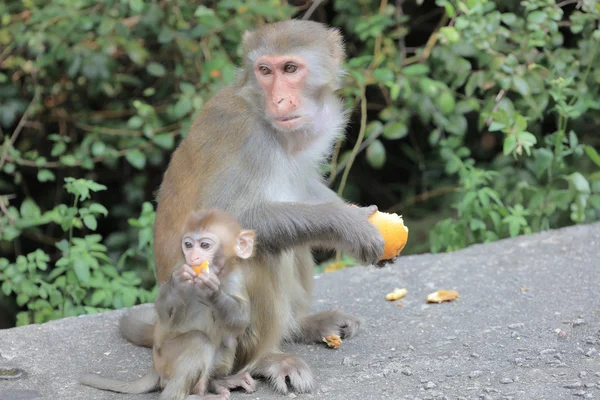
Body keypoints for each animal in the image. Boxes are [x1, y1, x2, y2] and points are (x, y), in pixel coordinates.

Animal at [79, 209, 255, 400]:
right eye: (188, 244)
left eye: (204, 245)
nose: (193, 257)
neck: (219, 273)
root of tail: (155, 367)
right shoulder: (179, 265)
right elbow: (164, 311)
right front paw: (177, 283)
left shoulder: (237, 276)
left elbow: (240, 320)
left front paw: (213, 292)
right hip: (165, 359)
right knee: (198, 340)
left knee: (229, 340)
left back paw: (218, 382)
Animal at [120, 19, 384, 394]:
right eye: (264, 71)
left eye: (290, 69)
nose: (279, 99)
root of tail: (163, 328)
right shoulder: (244, 135)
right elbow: (225, 215)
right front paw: (349, 224)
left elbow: (303, 188)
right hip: (215, 331)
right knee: (261, 252)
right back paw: (267, 360)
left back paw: (303, 325)